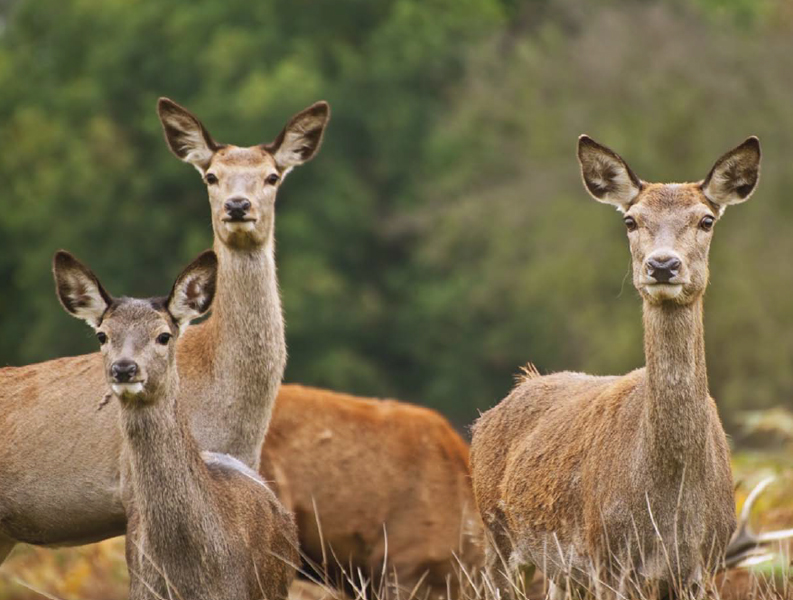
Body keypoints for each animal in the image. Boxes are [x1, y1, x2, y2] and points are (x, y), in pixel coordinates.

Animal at [470, 137, 760, 600]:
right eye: (630, 220)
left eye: (706, 219)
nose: (662, 265)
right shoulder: (608, 559)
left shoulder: (705, 564)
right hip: (497, 538)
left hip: (561, 574)